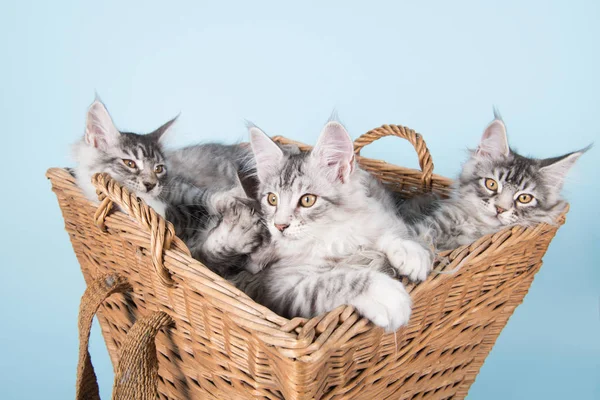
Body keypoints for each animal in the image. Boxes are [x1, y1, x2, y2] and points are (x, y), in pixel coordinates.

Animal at [232, 121, 434, 332]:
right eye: (272, 199)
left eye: (307, 200)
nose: (280, 225)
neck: (330, 234)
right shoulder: (281, 286)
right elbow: (336, 282)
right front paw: (386, 295)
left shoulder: (377, 215)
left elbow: (388, 232)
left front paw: (411, 253)